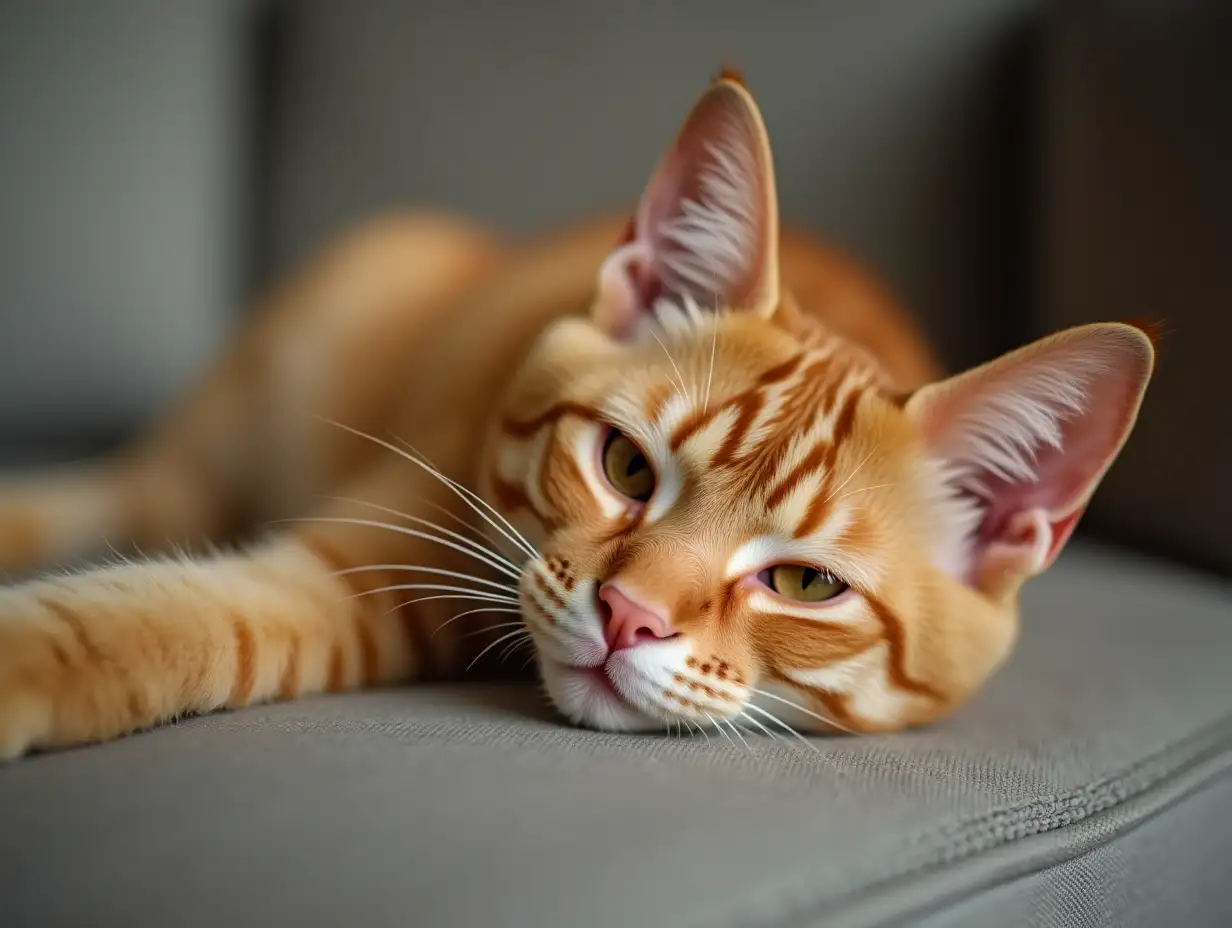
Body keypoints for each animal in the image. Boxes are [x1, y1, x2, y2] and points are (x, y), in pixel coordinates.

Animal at [0, 68, 1148, 754]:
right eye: (627, 468)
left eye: (804, 584)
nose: (628, 616)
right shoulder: (368, 551)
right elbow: (143, 621)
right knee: (112, 495)